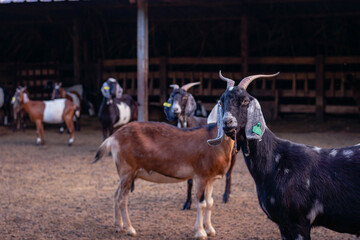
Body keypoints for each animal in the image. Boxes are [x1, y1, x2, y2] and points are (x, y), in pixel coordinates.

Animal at [93, 120, 233, 238]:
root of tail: (113, 137)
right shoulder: (201, 176)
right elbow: (202, 203)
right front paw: (200, 232)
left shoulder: (211, 179)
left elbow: (210, 202)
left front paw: (210, 230)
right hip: (127, 171)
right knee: (122, 199)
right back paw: (130, 229)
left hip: (126, 175)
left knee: (116, 195)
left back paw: (118, 226)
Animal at [165, 82, 238, 210]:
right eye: (172, 97)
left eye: (185, 97)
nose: (175, 110)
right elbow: (189, 181)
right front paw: (187, 203)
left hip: (233, 154)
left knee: (229, 174)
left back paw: (226, 196)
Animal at [208, 70, 360, 239]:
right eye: (221, 101)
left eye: (246, 100)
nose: (227, 122)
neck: (276, 161)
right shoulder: (284, 224)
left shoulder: (298, 223)